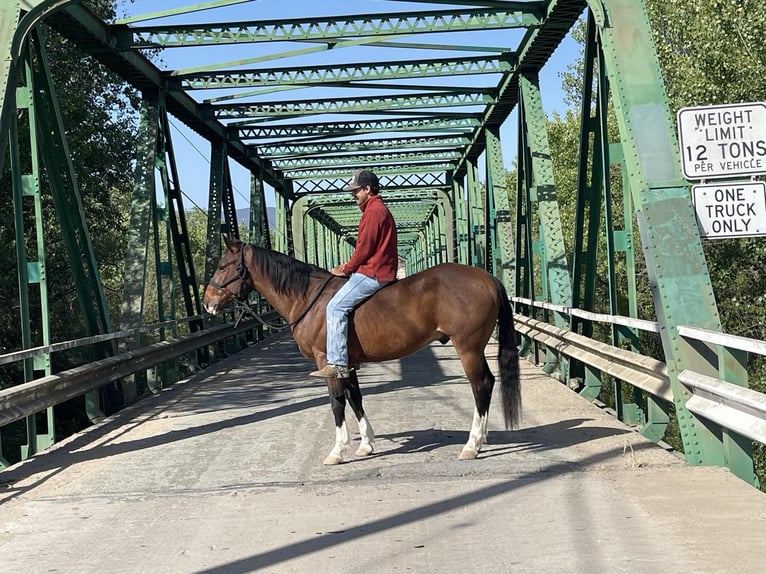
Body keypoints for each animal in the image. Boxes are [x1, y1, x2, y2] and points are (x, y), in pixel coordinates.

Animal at [204, 238, 520, 468]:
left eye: (221, 265)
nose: (207, 303)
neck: (309, 298)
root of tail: (486, 278)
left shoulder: (326, 361)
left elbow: (337, 403)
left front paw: (337, 451)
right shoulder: (347, 363)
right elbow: (355, 398)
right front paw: (366, 444)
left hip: (468, 348)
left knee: (481, 386)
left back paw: (472, 444)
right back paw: (482, 438)